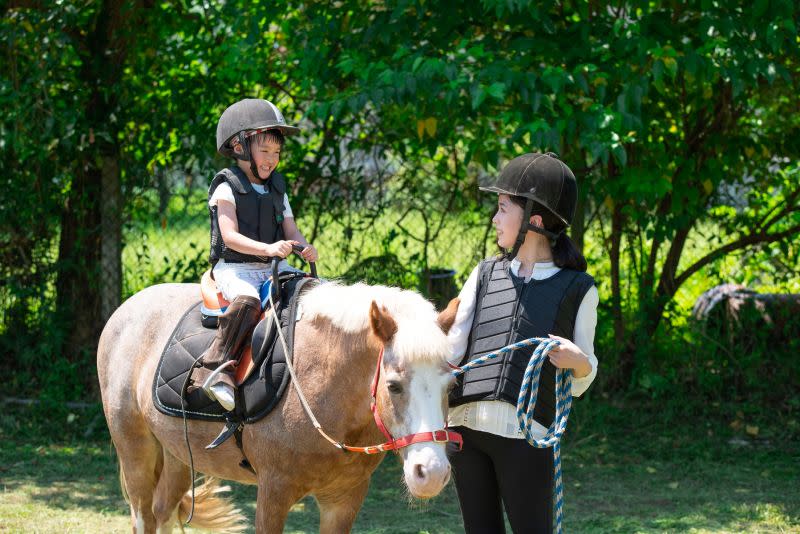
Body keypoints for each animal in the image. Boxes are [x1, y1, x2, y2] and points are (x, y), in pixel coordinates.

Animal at [98, 282, 462, 532]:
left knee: (163, 511)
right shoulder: (274, 491)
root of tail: (126, 309)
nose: (431, 473)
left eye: (452, 386)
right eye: (393, 386)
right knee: (144, 517)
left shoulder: (344, 498)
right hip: (135, 452)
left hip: (177, 455)